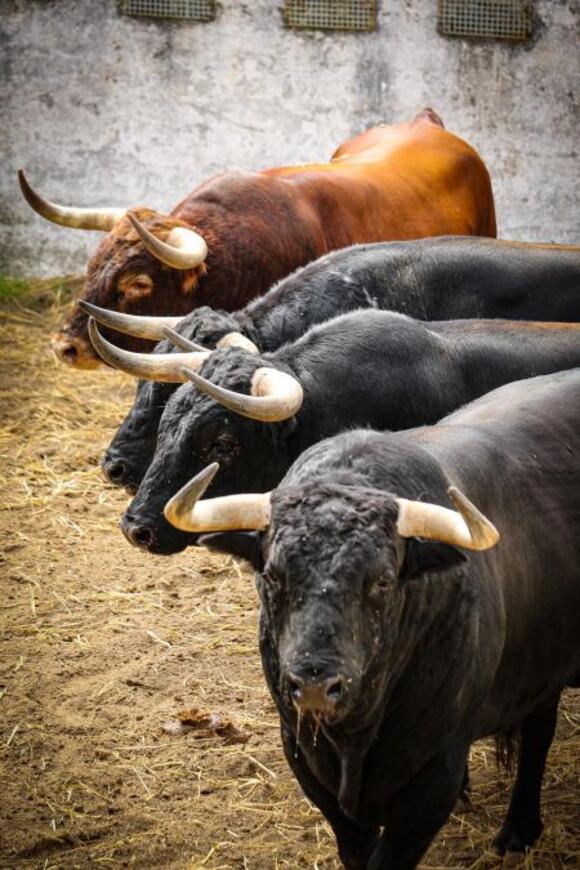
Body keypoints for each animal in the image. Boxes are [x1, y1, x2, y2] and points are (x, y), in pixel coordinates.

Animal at [196, 372, 580, 870]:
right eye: (273, 575)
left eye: (381, 580)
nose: (316, 685)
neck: (355, 741)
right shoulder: (303, 754)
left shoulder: (432, 777)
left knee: (537, 734)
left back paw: (518, 829)